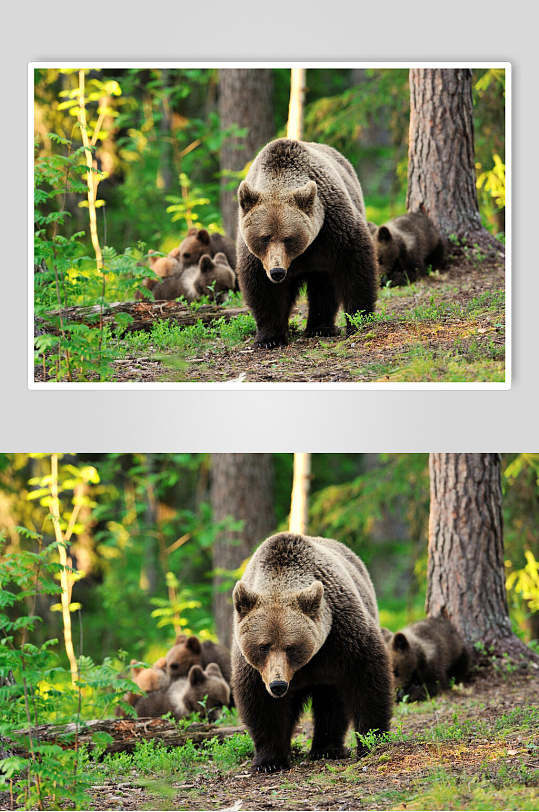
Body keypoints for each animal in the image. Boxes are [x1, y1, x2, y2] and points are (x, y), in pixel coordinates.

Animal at [232, 532, 392, 772]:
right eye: (263, 646)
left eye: (291, 646)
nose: (278, 685)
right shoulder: (253, 666)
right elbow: (262, 704)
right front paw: (270, 761)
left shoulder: (342, 636)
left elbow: (366, 679)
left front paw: (372, 740)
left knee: (331, 701)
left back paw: (326, 749)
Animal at [236, 138, 376, 348]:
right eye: (264, 237)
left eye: (288, 238)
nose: (277, 272)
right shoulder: (255, 255)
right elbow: (262, 288)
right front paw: (269, 338)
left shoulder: (333, 228)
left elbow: (355, 267)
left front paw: (359, 320)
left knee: (323, 285)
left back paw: (320, 328)